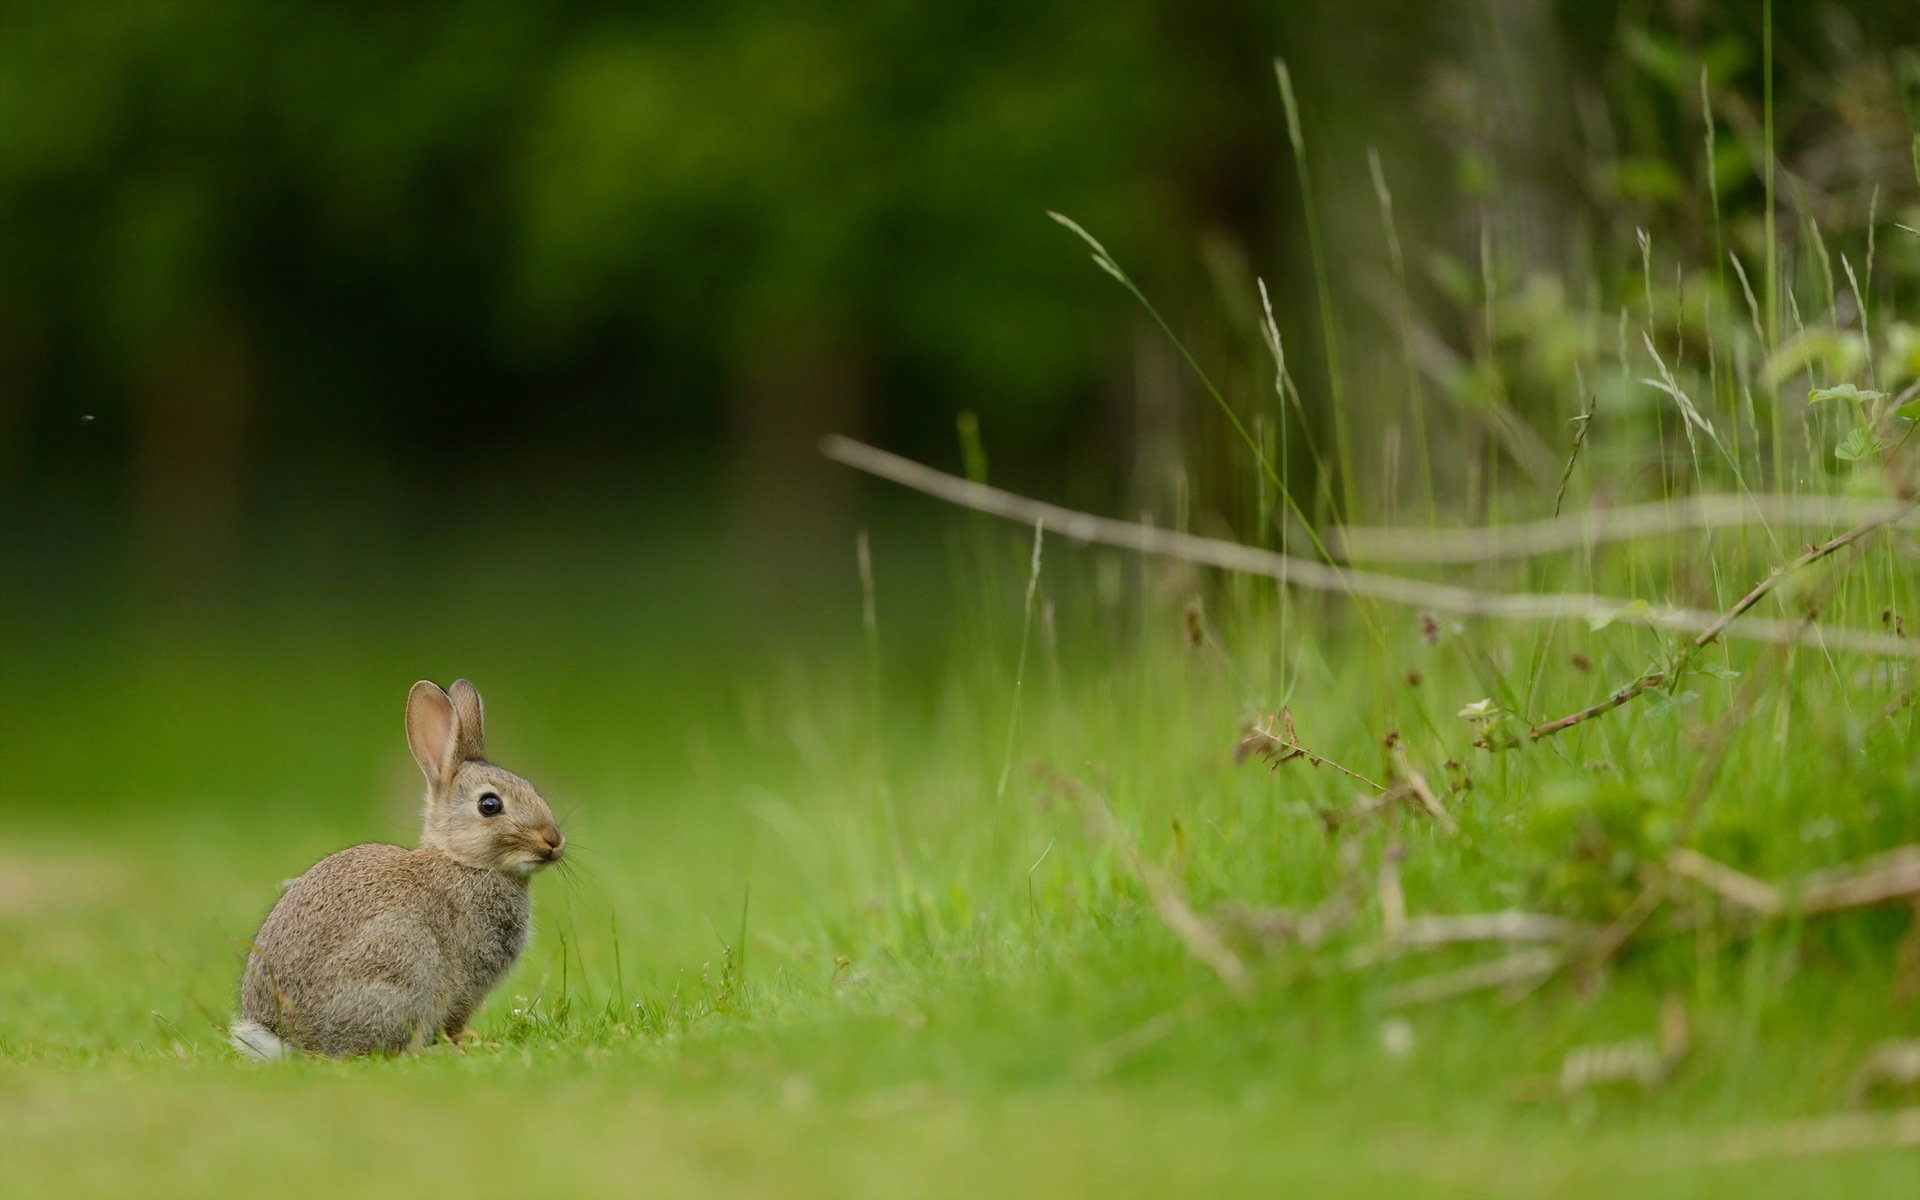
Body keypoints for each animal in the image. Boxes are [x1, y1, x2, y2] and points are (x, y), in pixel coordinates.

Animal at [229, 679, 564, 1052]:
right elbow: (456, 1019)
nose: (553, 841)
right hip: (404, 963)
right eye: (489, 805)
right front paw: (471, 1043)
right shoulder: (466, 982)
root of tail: (291, 1042)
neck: (463, 861)